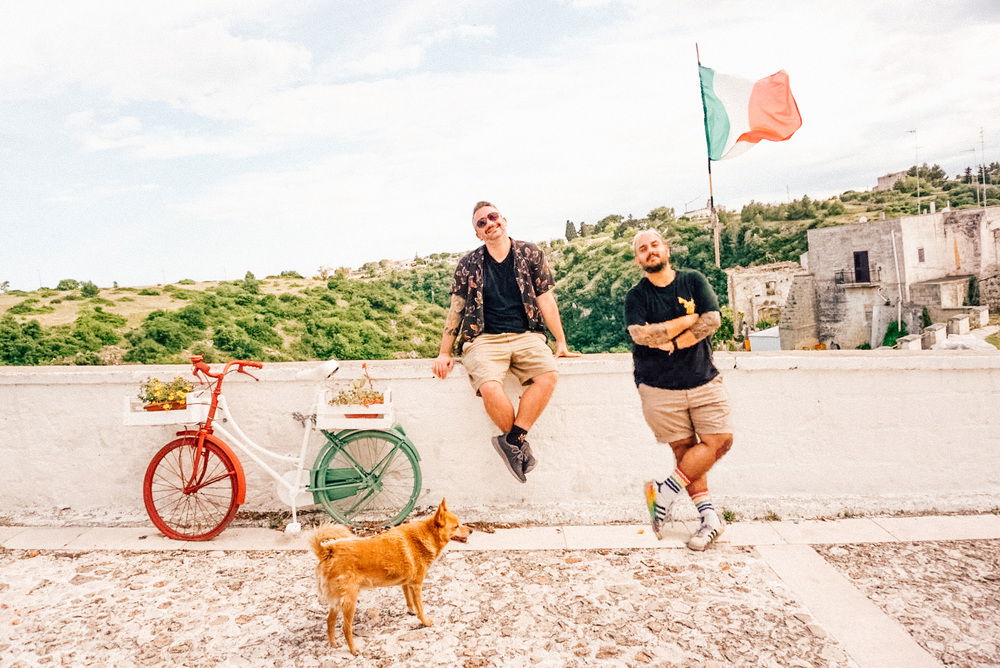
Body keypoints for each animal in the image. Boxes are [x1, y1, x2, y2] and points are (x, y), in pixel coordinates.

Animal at [308, 498, 472, 656]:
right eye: (456, 526)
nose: (471, 530)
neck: (427, 535)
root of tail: (327, 551)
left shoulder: (407, 583)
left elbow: (408, 599)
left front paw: (411, 611)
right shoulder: (417, 585)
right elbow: (420, 607)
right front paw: (425, 622)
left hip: (337, 602)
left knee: (329, 622)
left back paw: (333, 643)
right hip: (349, 602)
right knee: (345, 628)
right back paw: (353, 650)